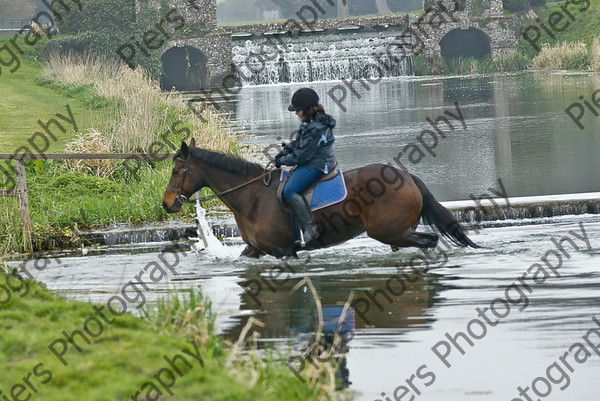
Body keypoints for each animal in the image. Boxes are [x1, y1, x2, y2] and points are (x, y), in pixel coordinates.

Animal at [161, 141, 478, 258]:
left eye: (176, 171)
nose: (166, 203)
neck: (253, 199)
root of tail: (407, 176)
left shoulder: (284, 251)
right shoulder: (255, 250)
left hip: (390, 231)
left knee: (430, 241)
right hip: (396, 233)